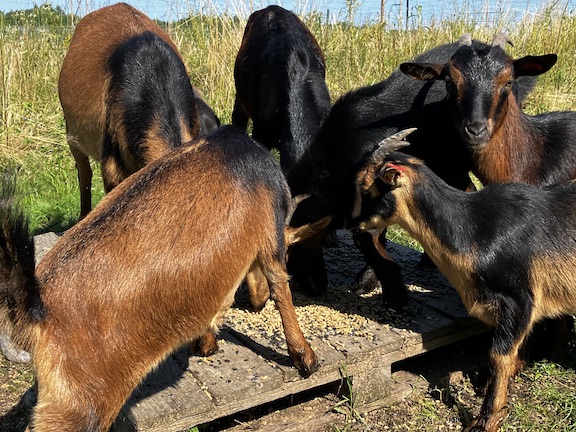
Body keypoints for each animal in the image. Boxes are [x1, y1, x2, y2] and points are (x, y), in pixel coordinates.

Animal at [0, 125, 320, 432]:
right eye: (289, 249)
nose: (257, 301)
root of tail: (36, 304)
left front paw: (205, 344)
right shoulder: (269, 236)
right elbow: (281, 288)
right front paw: (305, 358)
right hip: (82, 404)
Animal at [348, 133, 576, 430]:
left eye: (366, 188)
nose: (352, 225)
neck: (473, 228)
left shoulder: (519, 300)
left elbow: (499, 356)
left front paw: (487, 417)